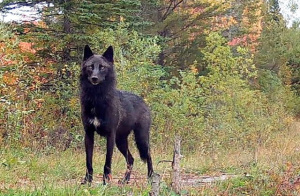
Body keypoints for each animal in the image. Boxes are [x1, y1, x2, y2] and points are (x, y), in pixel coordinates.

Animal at [80, 45, 152, 185]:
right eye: (90, 67)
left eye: (102, 67)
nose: (94, 78)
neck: (96, 99)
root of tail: (144, 102)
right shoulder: (89, 135)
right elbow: (88, 161)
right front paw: (87, 181)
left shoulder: (110, 136)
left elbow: (107, 162)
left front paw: (105, 182)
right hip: (121, 142)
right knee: (131, 159)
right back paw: (125, 180)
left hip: (140, 139)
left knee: (149, 156)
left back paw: (151, 178)